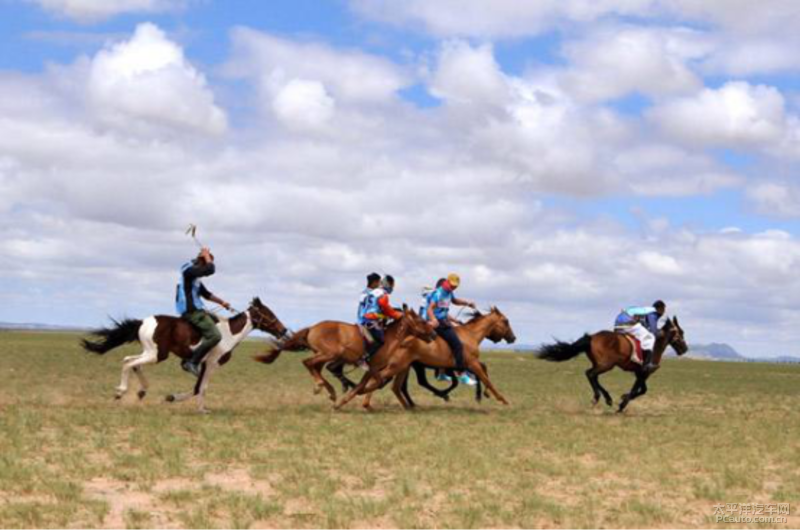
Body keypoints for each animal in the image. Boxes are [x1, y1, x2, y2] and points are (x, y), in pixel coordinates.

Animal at [80, 298, 288, 414]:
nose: (284, 330)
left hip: (150, 352)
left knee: (130, 361)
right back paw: (121, 392)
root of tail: (143, 322)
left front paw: (175, 399)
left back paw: (141, 391)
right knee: (129, 364)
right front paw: (199, 408)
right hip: (157, 354)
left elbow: (198, 388)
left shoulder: (202, 365)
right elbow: (201, 388)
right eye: (269, 314)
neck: (229, 333)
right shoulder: (210, 364)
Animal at [252, 306, 434, 406]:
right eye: (422, 321)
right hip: (330, 353)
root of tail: (312, 328)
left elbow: (371, 383)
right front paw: (347, 400)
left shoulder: (373, 369)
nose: (433, 334)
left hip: (324, 355)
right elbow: (372, 383)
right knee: (308, 362)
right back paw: (321, 386)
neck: (389, 338)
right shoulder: (373, 367)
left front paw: (347, 397)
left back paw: (330, 391)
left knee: (316, 367)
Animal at [334, 308, 516, 412]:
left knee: (393, 386)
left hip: (403, 367)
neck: (470, 335)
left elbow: (483, 374)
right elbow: (485, 377)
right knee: (379, 380)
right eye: (506, 321)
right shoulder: (471, 363)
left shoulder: (467, 365)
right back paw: (359, 401)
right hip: (398, 366)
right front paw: (502, 400)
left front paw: (484, 394)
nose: (513, 338)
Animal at [536, 318, 688, 414]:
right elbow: (637, 390)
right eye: (681, 333)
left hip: (601, 364)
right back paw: (598, 397)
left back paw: (607, 398)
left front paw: (622, 398)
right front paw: (622, 404)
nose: (685, 349)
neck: (655, 344)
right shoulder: (644, 372)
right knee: (590, 374)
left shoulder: (640, 373)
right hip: (607, 365)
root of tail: (592, 337)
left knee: (592, 375)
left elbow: (642, 390)